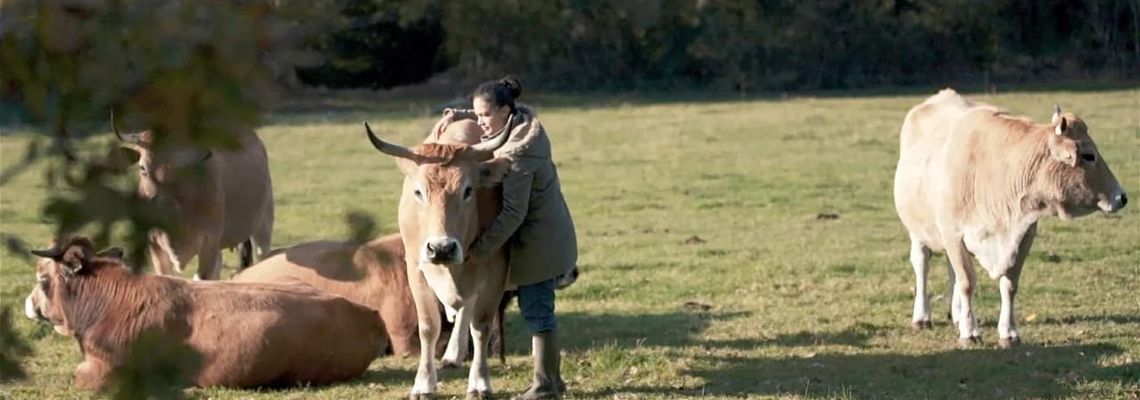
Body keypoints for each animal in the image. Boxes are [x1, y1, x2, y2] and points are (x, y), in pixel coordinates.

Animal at [112, 114, 274, 280]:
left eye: (181, 169)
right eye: (142, 168)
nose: (160, 206)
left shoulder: (209, 242)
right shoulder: (153, 243)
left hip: (263, 227)